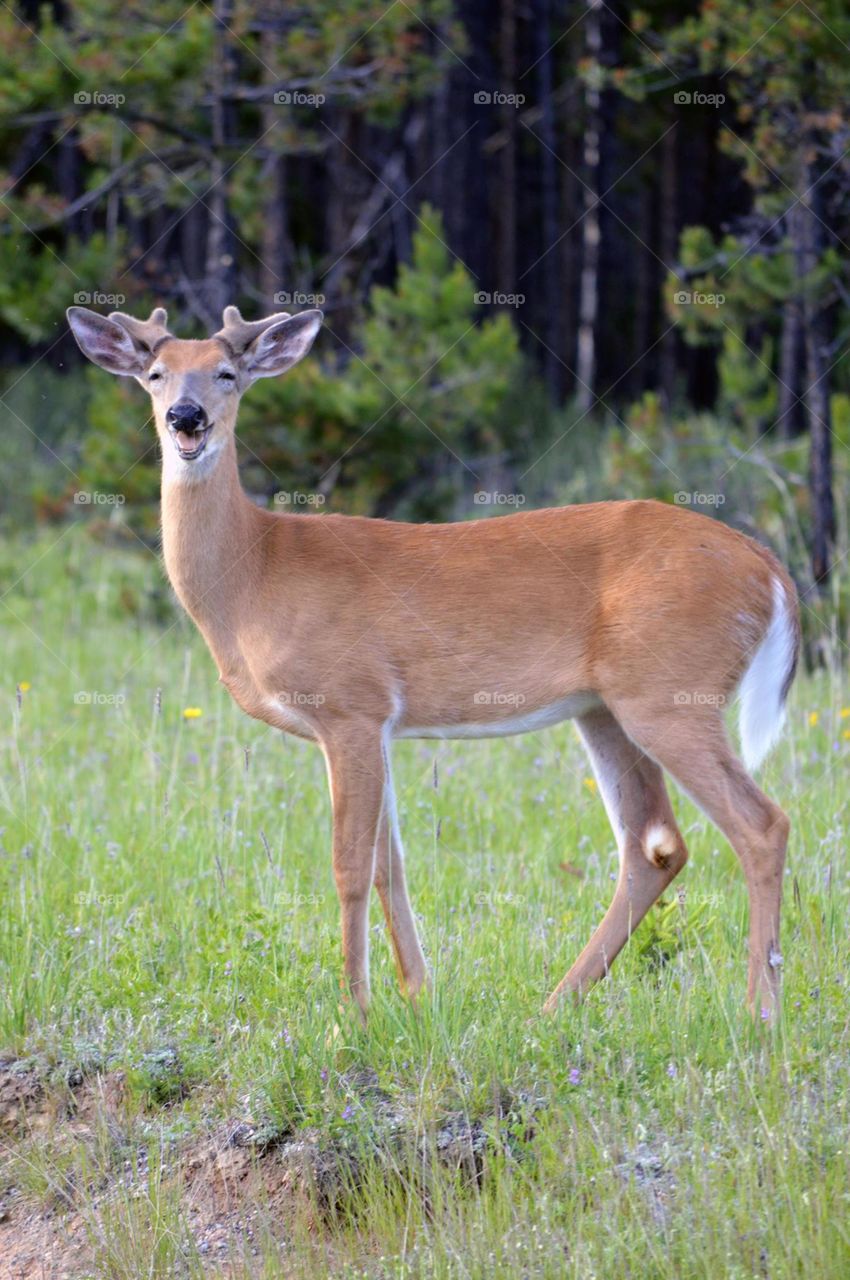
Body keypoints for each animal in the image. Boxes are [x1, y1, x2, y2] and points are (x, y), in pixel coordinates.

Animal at [66, 303, 800, 1022]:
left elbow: (349, 864)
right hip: (605, 708)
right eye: (155, 374)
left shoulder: (350, 705)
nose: (185, 418)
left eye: (226, 373)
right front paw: (418, 997)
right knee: (655, 844)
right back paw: (554, 1006)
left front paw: (354, 1014)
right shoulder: (378, 723)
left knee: (761, 824)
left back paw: (759, 1014)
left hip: (671, 693)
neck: (256, 574)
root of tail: (766, 566)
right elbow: (389, 864)